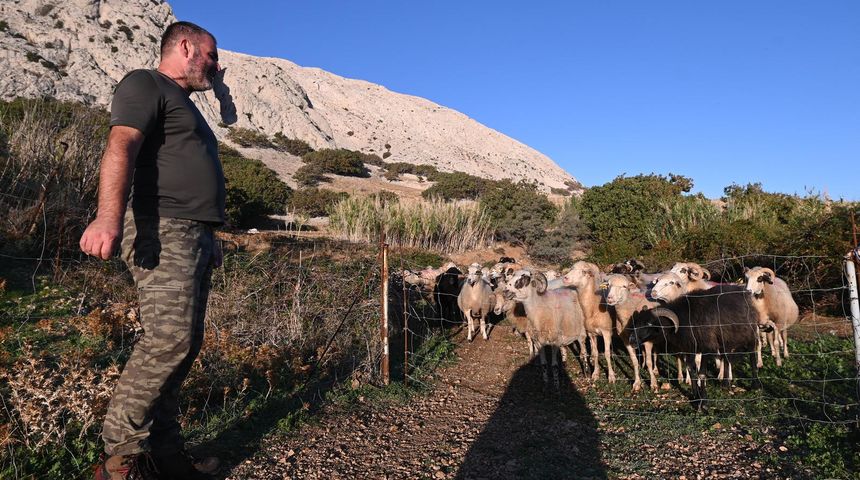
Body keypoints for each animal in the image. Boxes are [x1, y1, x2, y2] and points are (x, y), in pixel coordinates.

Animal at [629, 285, 762, 410]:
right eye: (637, 322)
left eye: (649, 324)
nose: (632, 340)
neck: (684, 320)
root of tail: (742, 290)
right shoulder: (690, 348)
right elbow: (690, 370)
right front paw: (695, 397)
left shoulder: (706, 347)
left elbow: (701, 373)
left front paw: (703, 402)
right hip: (726, 338)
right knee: (726, 356)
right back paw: (725, 384)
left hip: (750, 332)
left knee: (752, 353)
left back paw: (755, 385)